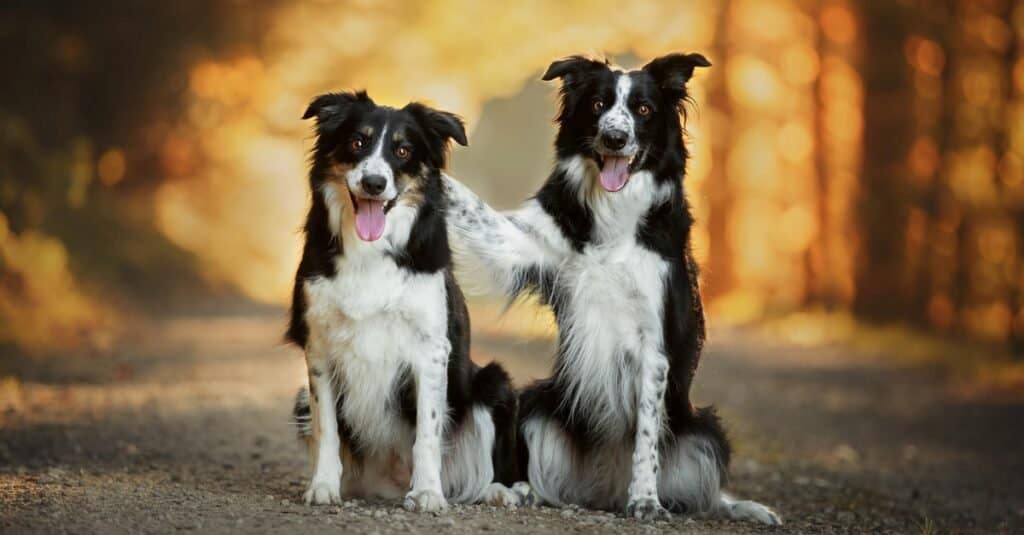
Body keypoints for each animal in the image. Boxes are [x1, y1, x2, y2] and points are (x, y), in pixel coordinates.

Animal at [292, 90, 524, 508]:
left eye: (402, 150)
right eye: (357, 142)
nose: (373, 182)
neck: (370, 251)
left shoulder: (429, 348)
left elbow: (427, 433)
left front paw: (428, 492)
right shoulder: (318, 346)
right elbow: (326, 429)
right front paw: (323, 486)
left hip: (493, 383)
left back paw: (497, 491)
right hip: (301, 397)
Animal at [444, 56, 778, 522]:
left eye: (644, 109)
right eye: (598, 104)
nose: (615, 138)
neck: (614, 212)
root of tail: (604, 490)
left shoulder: (653, 344)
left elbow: (646, 439)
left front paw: (645, 501)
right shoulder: (526, 245)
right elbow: (476, 211)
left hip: (704, 432)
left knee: (706, 492)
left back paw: (736, 506)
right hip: (540, 404)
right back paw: (524, 491)